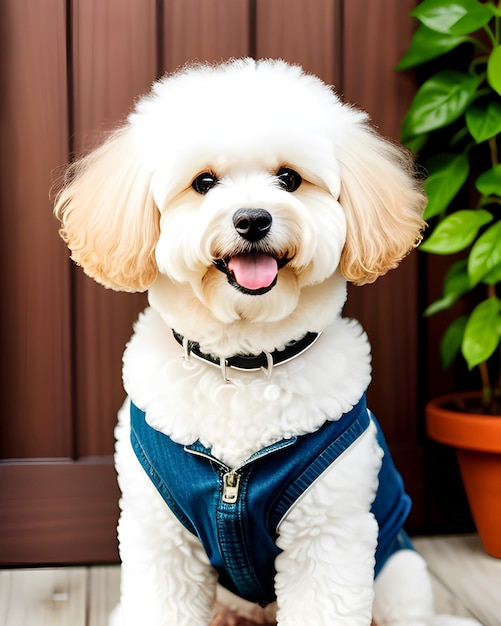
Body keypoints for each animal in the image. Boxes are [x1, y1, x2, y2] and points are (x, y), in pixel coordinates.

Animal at [52, 58, 478, 624]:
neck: (242, 365)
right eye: (204, 182)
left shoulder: (329, 532)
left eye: (290, 179)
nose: (253, 219)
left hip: (399, 568)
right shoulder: (160, 535)